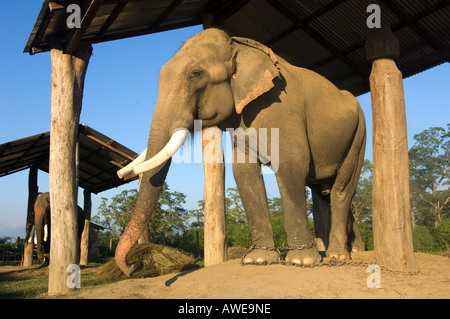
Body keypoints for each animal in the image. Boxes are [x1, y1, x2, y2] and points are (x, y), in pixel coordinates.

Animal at [116, 28, 366, 276]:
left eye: (195, 73)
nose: (133, 266)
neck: (237, 46)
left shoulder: (283, 109)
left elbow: (291, 165)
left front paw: (301, 261)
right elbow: (244, 171)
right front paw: (258, 260)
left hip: (358, 135)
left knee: (341, 190)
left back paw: (337, 256)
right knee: (324, 192)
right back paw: (353, 250)